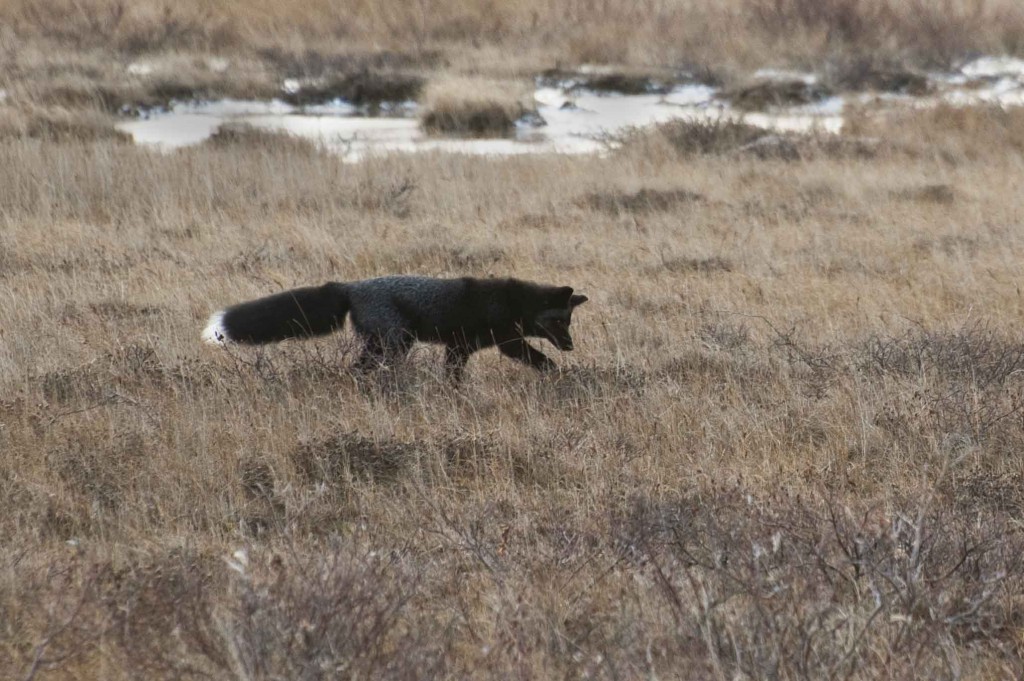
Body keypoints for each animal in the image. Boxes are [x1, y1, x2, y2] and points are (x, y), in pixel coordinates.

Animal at [202, 275, 588, 380]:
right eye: (558, 321)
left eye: (569, 321)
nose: (571, 346)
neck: (512, 301)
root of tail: (350, 287)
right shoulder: (507, 342)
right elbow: (539, 359)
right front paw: (557, 374)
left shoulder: (459, 347)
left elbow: (452, 375)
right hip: (396, 344)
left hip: (382, 345)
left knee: (355, 370)